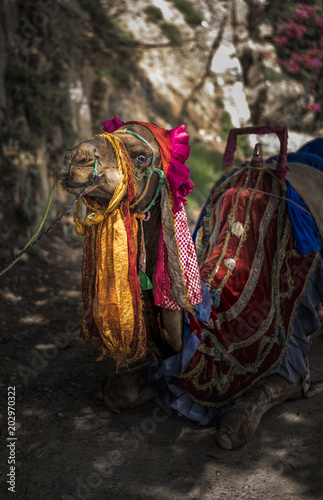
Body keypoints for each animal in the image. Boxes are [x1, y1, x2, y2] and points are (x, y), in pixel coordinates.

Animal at [57, 119, 322, 452]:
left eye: (142, 157)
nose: (74, 158)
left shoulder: (290, 355)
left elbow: (239, 419)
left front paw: (235, 423)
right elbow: (120, 390)